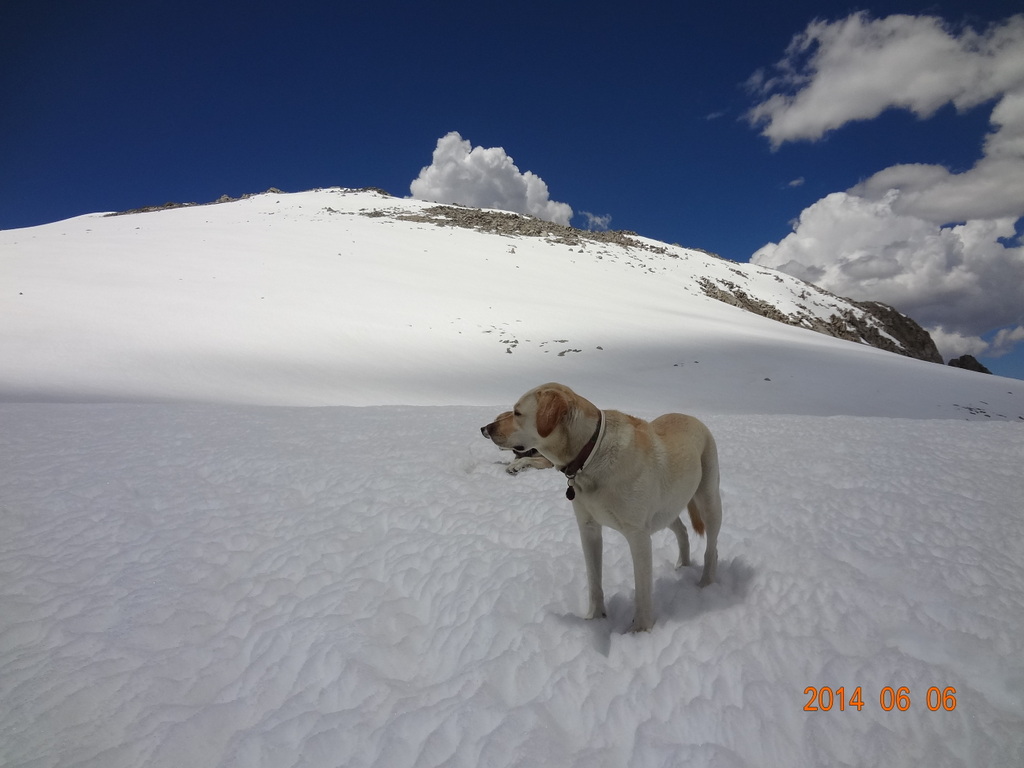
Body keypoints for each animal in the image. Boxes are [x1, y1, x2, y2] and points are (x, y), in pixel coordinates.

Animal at [479, 382, 720, 630]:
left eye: (517, 412)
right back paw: (683, 564)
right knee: (682, 530)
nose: (486, 428)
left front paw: (641, 629)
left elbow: (642, 590)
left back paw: (706, 582)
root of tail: (692, 417)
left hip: (708, 500)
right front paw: (595, 618)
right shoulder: (588, 528)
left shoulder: (638, 535)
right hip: (665, 510)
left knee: (712, 548)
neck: (590, 455)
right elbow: (594, 580)